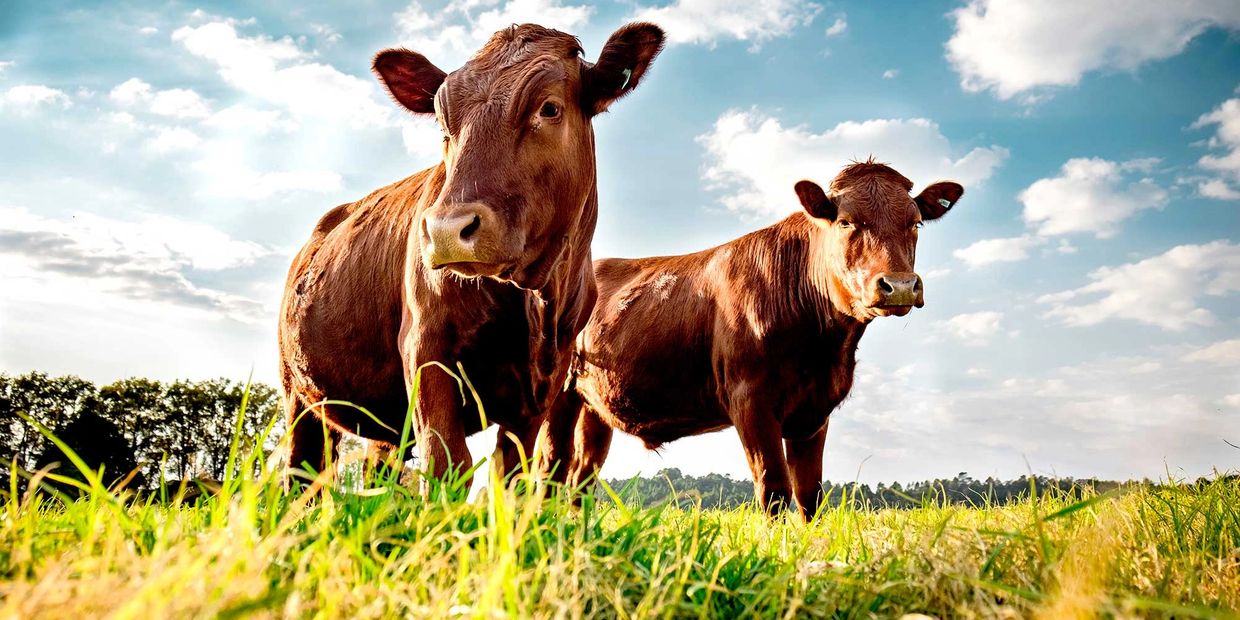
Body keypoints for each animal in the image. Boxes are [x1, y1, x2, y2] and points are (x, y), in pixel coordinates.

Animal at [278, 23, 665, 485]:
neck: (534, 298)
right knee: (302, 468)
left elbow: (512, 473)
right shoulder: (424, 347)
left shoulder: (544, 383)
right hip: (299, 392)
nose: (446, 230)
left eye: (549, 108)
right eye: (444, 123)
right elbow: (447, 463)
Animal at [541, 161, 963, 520]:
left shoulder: (815, 410)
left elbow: (809, 495)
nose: (900, 286)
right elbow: (773, 488)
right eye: (845, 222)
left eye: (916, 223)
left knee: (582, 475)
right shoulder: (749, 399)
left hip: (595, 406)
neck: (825, 350)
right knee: (552, 467)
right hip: (559, 393)